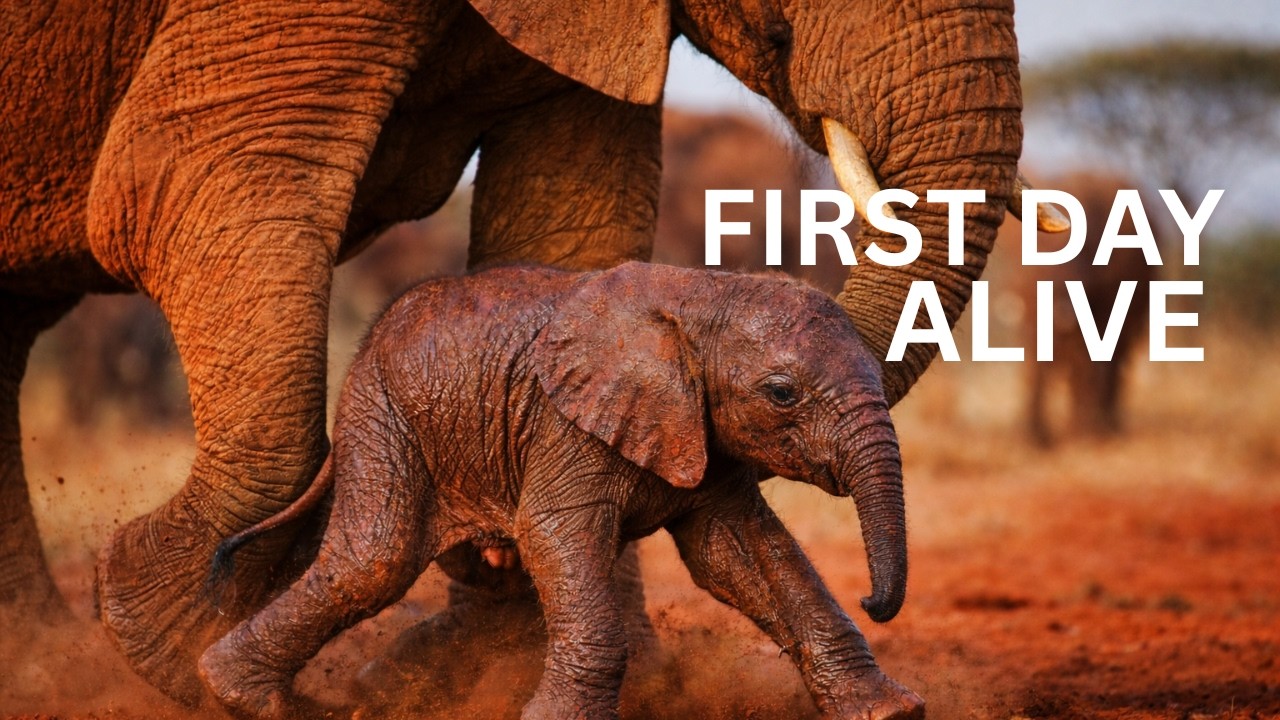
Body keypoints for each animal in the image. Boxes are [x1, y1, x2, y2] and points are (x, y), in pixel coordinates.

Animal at [198, 262, 922, 720]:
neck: (705, 296)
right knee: (374, 560)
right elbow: (553, 531)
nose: (874, 599)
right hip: (384, 412)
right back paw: (243, 698)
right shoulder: (566, 420)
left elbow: (742, 554)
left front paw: (888, 712)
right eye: (782, 394)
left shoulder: (706, 437)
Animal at [1009, 172, 1159, 446]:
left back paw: (1107, 428)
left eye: (1082, 252)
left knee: (1117, 348)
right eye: (1018, 256)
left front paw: (1085, 435)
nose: (1041, 444)